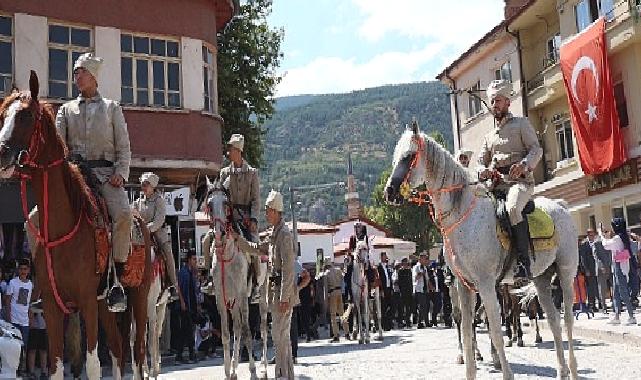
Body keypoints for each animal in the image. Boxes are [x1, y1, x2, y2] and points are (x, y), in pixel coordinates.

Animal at [0, 70, 151, 378]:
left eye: (26, 115)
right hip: (105, 306)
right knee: (117, 349)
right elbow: (57, 365)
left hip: (139, 297)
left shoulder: (86, 301)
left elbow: (93, 365)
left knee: (138, 352)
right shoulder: (53, 306)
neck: (62, 224)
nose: (1, 153)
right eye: (3, 114)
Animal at [384, 122, 580, 380]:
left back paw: (573, 370)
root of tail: (561, 206)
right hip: (541, 278)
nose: (389, 192)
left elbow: (495, 331)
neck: (463, 215)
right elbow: (467, 331)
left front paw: (506, 372)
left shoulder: (486, 284)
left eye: (408, 156)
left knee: (567, 319)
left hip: (566, 273)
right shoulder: (463, 286)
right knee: (554, 320)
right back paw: (561, 370)